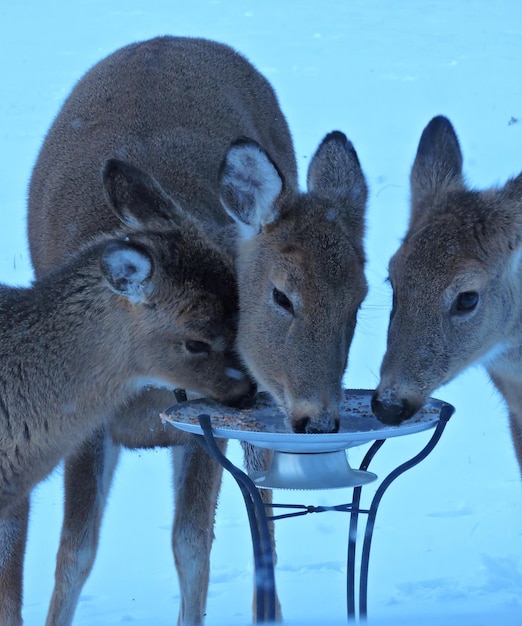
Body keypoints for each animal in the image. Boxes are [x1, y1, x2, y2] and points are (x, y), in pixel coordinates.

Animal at [26, 35, 368, 624]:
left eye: (362, 300)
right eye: (280, 295)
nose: (321, 419)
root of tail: (168, 39)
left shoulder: (215, 421)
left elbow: (191, 545)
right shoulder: (80, 417)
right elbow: (75, 554)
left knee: (265, 513)